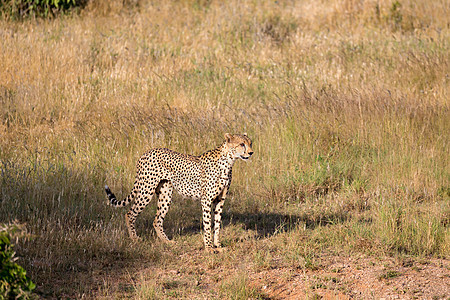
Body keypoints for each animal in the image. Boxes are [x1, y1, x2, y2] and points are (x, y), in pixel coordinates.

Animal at [105, 133, 253, 251]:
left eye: (250, 143)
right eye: (241, 144)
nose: (251, 152)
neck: (228, 161)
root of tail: (147, 152)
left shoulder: (220, 200)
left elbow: (217, 224)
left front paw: (218, 245)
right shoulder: (206, 200)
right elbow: (207, 224)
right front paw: (209, 247)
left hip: (165, 194)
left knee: (157, 220)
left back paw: (167, 242)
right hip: (146, 190)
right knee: (130, 213)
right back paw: (135, 239)